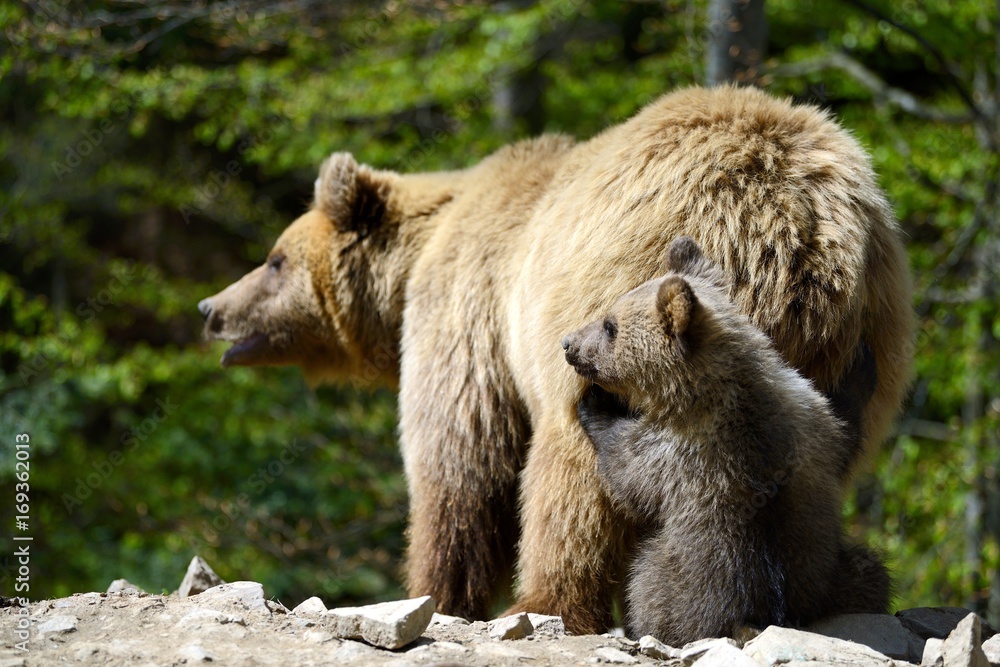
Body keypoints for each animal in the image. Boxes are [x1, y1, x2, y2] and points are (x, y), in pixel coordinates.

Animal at [197, 86, 916, 636]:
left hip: (627, 297)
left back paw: (549, 602)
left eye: (274, 259)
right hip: (852, 352)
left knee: (573, 476)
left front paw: (439, 593)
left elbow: (461, 463)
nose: (211, 307)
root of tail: (799, 224)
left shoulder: (470, 316)